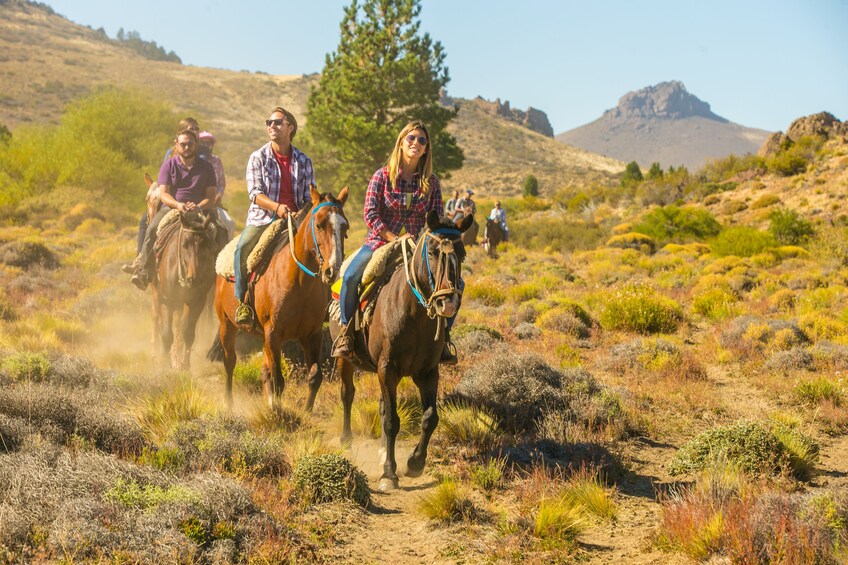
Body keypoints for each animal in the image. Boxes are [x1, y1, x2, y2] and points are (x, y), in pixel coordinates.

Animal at [152, 209, 220, 368]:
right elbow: (167, 334)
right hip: (157, 295)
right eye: (184, 245)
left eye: (205, 246)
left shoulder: (196, 302)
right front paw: (165, 364)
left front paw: (185, 366)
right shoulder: (167, 301)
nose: (193, 278)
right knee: (158, 320)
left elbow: (188, 333)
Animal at [209, 185, 348, 410]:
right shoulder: (273, 334)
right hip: (226, 325)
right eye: (319, 225)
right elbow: (278, 380)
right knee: (230, 362)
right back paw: (229, 403)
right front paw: (278, 413)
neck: (298, 283)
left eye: (345, 228)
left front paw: (304, 412)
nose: (332, 270)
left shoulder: (312, 335)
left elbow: (314, 377)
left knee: (264, 370)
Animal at [332, 209, 476, 492]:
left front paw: (414, 463)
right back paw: (346, 440)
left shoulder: (428, 372)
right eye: (432, 251)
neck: (414, 315)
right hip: (346, 360)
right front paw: (389, 474)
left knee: (381, 405)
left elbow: (430, 417)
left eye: (462, 253)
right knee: (347, 394)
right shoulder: (387, 369)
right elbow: (391, 420)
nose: (448, 302)